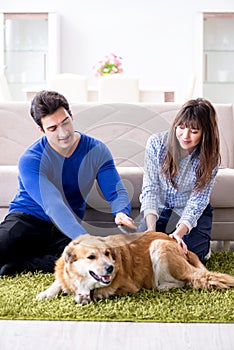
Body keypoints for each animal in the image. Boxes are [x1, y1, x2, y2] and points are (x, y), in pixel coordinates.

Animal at [36, 232, 234, 304]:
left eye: (107, 253)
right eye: (91, 257)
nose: (110, 268)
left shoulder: (127, 286)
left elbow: (102, 291)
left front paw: (84, 295)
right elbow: (59, 281)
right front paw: (46, 293)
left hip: (159, 246)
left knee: (187, 281)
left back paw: (162, 286)